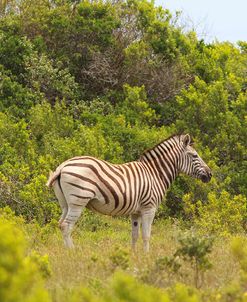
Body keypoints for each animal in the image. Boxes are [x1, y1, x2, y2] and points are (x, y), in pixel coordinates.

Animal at [45, 133, 210, 251]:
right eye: (195, 156)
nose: (210, 174)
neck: (155, 174)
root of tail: (62, 166)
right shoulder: (149, 208)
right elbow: (146, 235)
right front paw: (146, 256)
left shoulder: (136, 212)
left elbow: (134, 235)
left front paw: (134, 255)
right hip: (78, 200)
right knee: (66, 226)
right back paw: (72, 252)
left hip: (65, 203)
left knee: (60, 224)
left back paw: (66, 251)